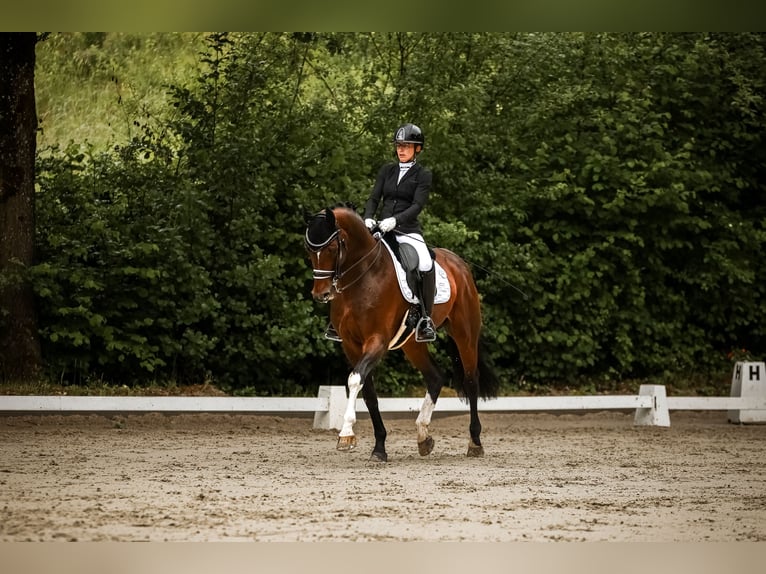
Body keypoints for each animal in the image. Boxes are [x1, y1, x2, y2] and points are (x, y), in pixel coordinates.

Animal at [304, 204, 499, 462]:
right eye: (308, 249)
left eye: (333, 247)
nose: (321, 294)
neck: (363, 276)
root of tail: (458, 263)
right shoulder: (351, 345)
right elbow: (368, 392)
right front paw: (379, 447)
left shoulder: (377, 340)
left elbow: (355, 380)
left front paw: (346, 435)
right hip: (412, 343)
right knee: (435, 377)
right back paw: (423, 437)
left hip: (464, 333)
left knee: (470, 380)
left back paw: (475, 442)